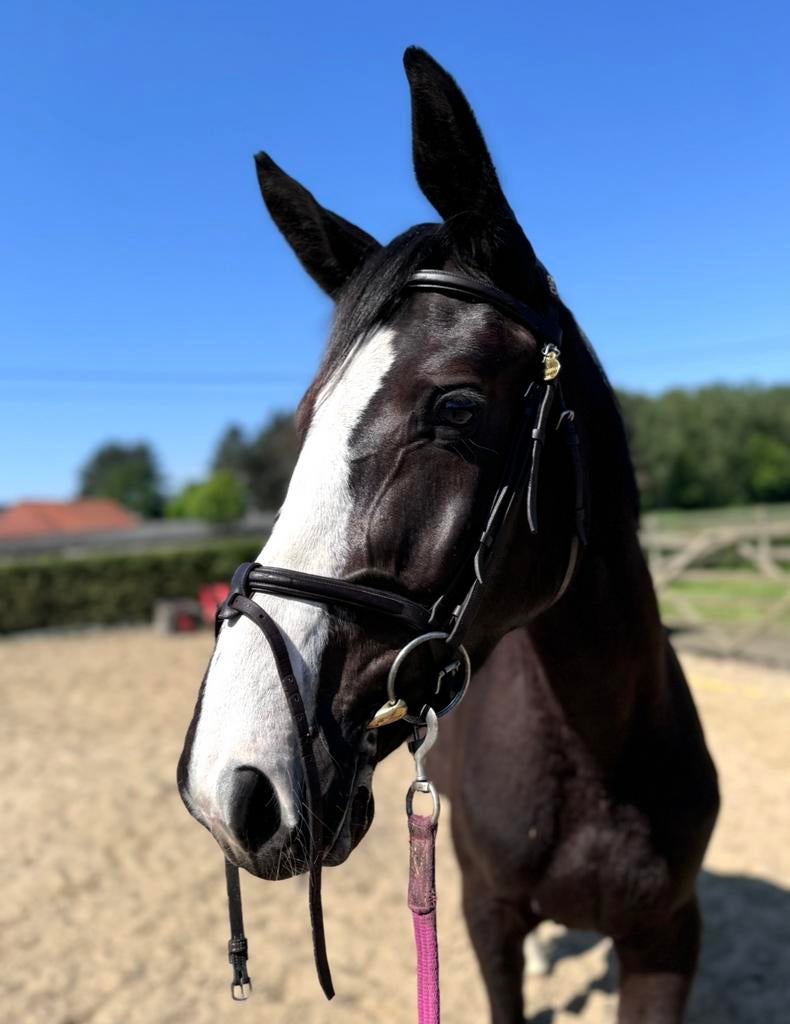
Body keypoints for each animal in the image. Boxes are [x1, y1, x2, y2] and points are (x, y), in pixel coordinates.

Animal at [178, 47, 719, 1023]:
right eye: (307, 420)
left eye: (456, 407)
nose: (228, 785)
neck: (599, 751)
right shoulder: (483, 919)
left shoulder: (669, 941)